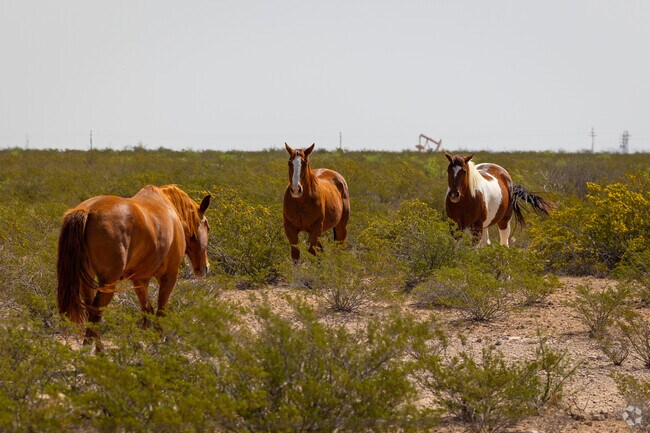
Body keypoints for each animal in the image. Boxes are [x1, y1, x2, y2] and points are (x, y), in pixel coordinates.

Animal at [57, 184, 211, 350]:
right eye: (207, 226)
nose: (205, 268)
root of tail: (88, 210)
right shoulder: (169, 276)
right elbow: (160, 311)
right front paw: (159, 343)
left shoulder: (140, 280)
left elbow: (147, 310)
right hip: (108, 283)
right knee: (96, 313)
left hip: (87, 280)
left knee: (90, 310)